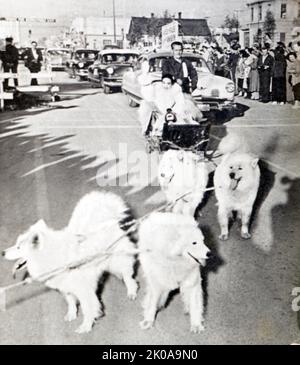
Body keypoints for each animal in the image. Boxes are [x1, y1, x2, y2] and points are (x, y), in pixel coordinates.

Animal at [2, 191, 138, 332]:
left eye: (18, 247)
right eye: (16, 244)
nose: (3, 253)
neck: (53, 257)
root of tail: (109, 221)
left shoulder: (84, 290)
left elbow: (88, 308)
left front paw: (85, 326)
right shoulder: (66, 288)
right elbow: (71, 302)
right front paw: (72, 315)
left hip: (118, 261)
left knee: (129, 277)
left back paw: (131, 291)